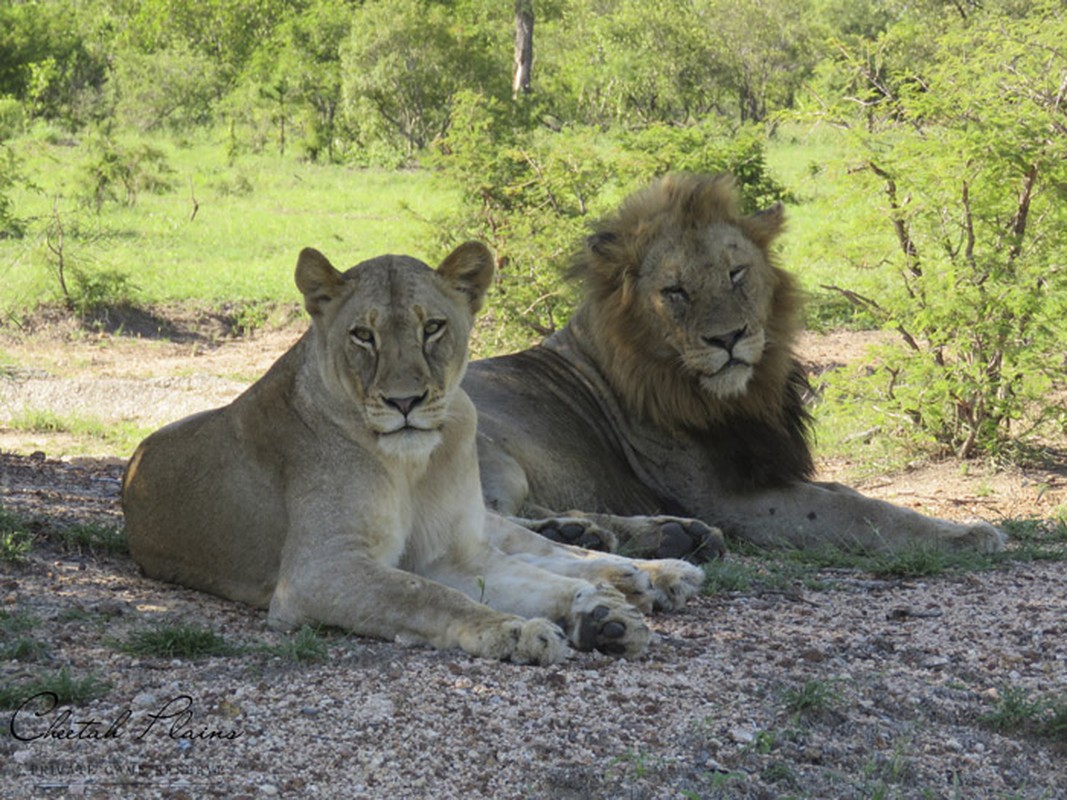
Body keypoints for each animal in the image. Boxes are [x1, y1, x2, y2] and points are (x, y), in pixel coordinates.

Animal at [121, 243, 704, 665]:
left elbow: (503, 580)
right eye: (363, 335)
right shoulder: (319, 570)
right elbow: (427, 595)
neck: (414, 464)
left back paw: (648, 574)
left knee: (545, 549)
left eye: (433, 327)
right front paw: (517, 631)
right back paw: (613, 596)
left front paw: (589, 610)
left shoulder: (448, 552)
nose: (405, 402)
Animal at [463, 173, 1002, 563]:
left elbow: (841, 490)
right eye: (675, 291)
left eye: (736, 274)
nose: (728, 338)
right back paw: (594, 534)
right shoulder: (724, 497)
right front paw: (967, 535)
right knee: (477, 524)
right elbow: (853, 510)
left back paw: (652, 535)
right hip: (490, 453)